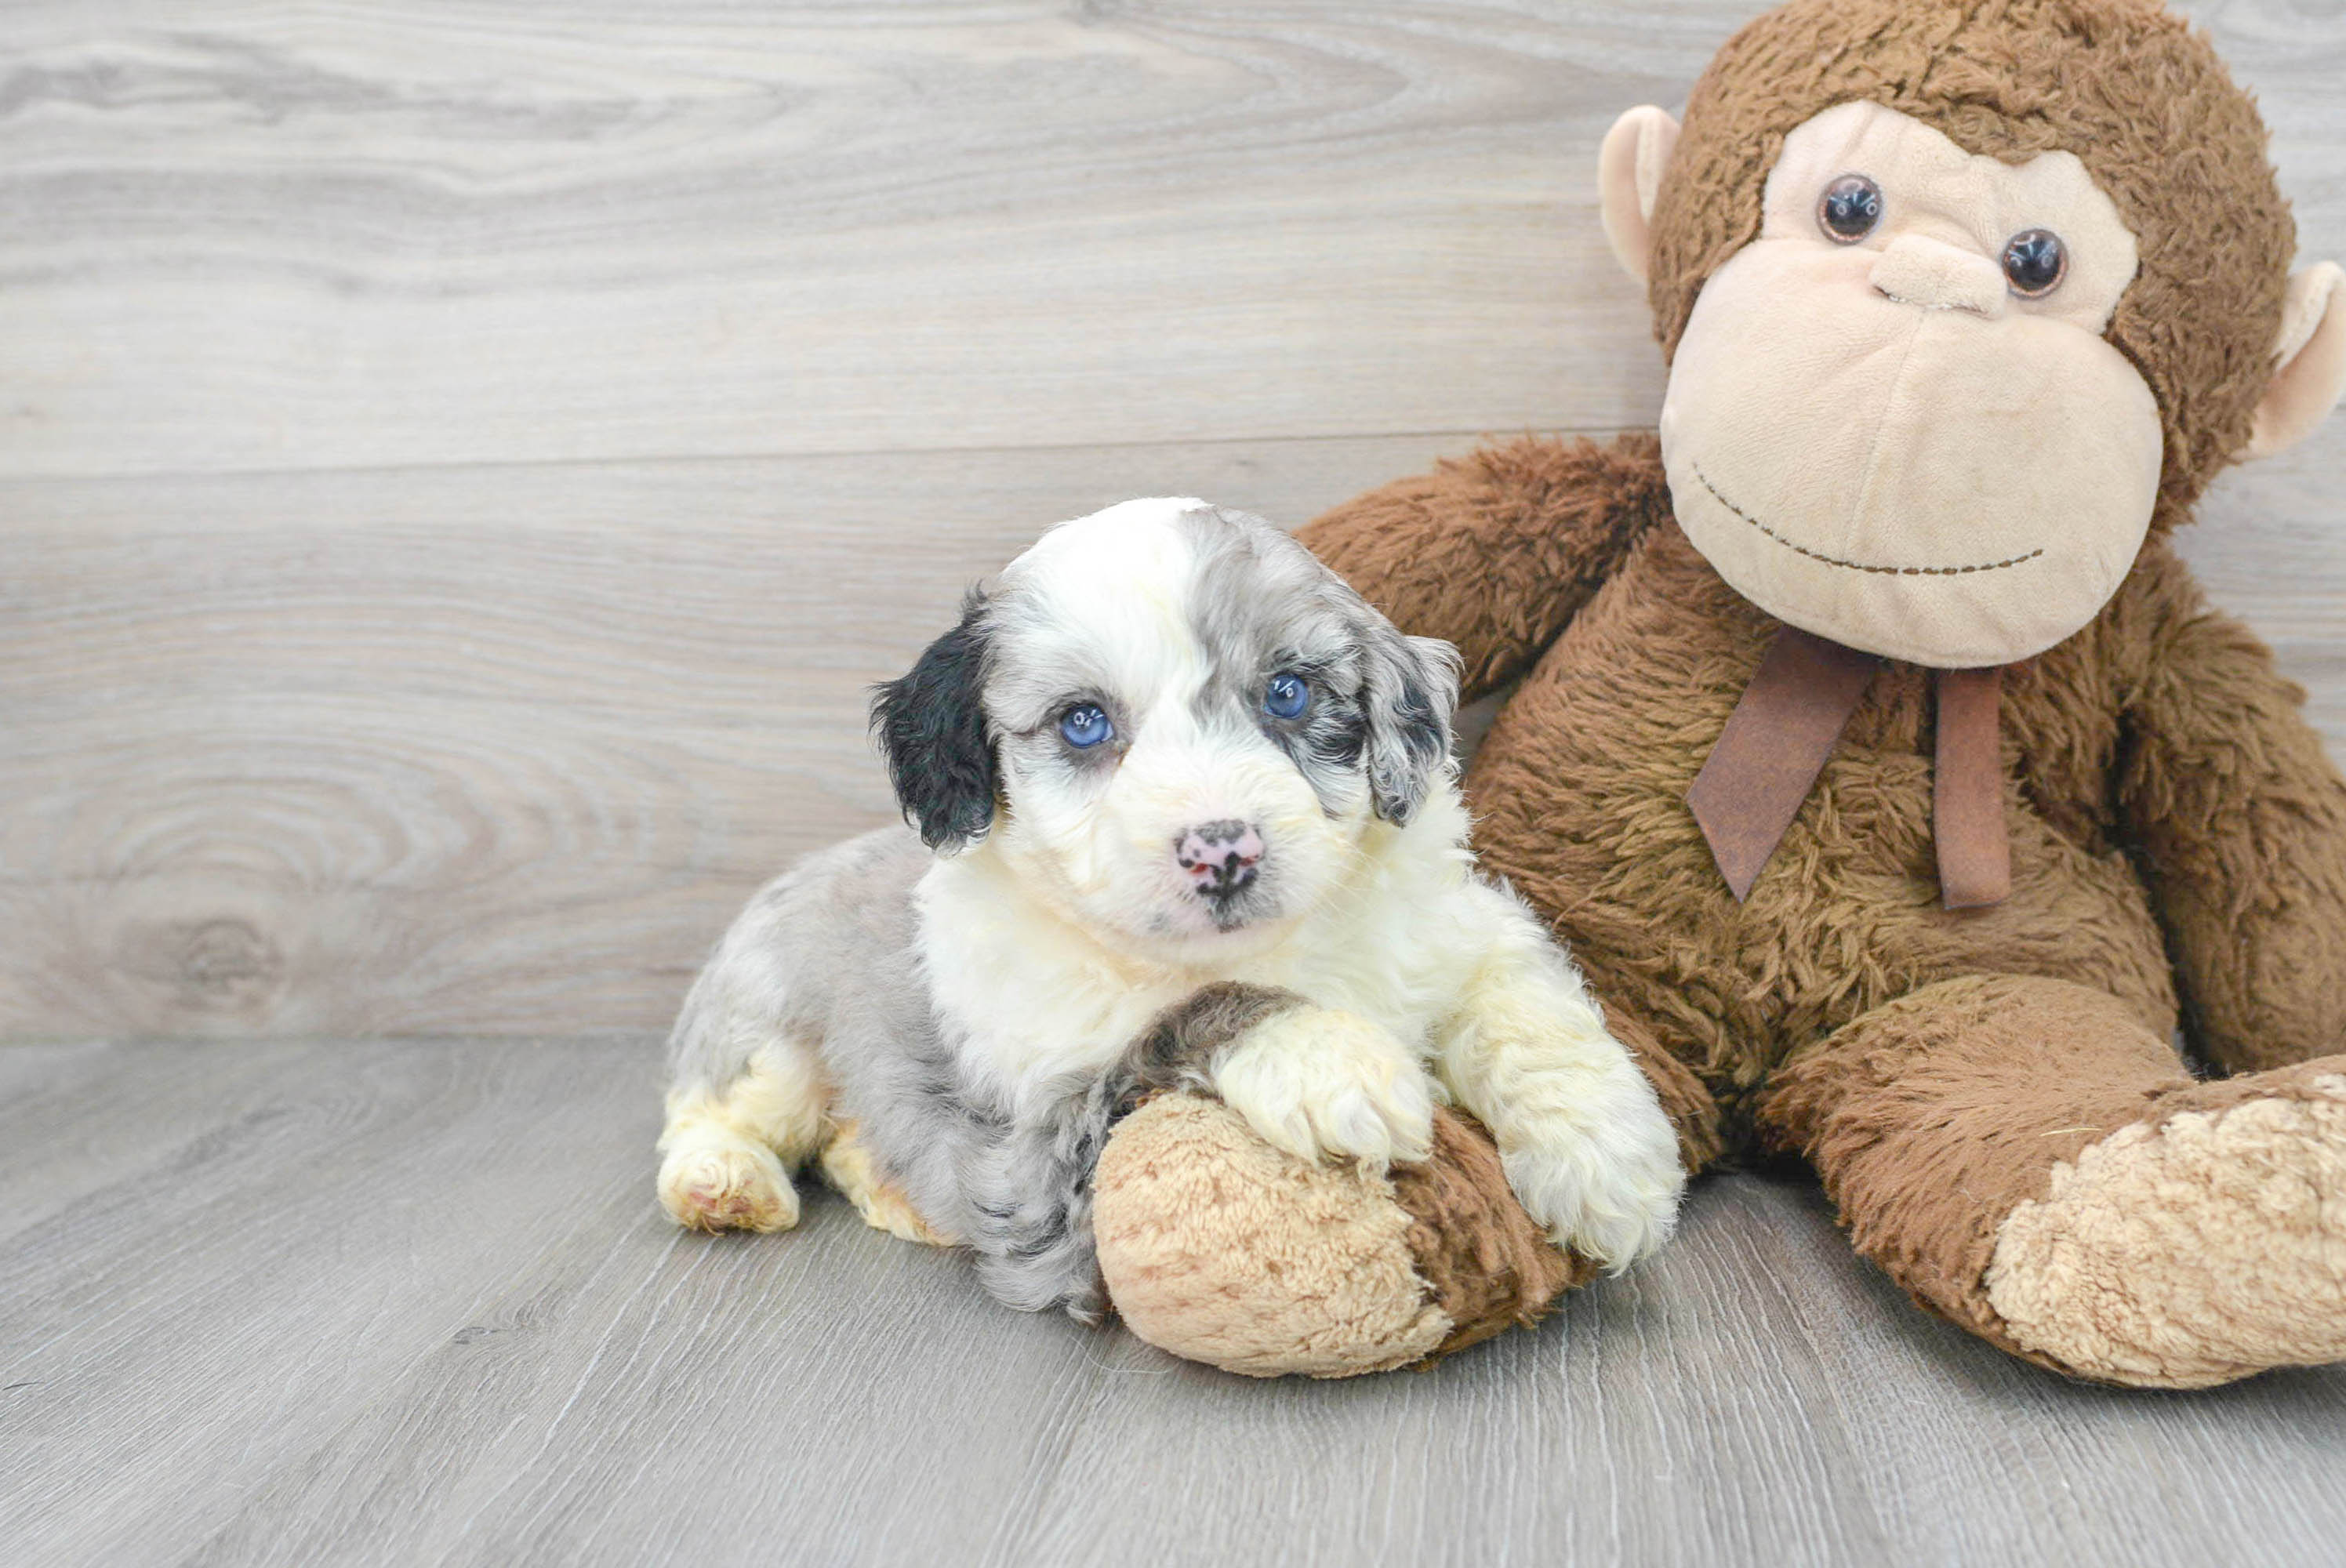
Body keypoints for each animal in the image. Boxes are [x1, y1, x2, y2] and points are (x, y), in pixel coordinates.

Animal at [656, 495, 1689, 1314]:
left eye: (1288, 692)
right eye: (1082, 722)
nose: (1222, 850)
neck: (1271, 945)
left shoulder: (1462, 927)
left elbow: (1527, 1003)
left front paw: (1607, 1161)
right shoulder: (1047, 1154)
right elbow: (1186, 1015)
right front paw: (1332, 1060)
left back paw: (892, 1191)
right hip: (766, 1028)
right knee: (715, 1108)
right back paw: (723, 1181)